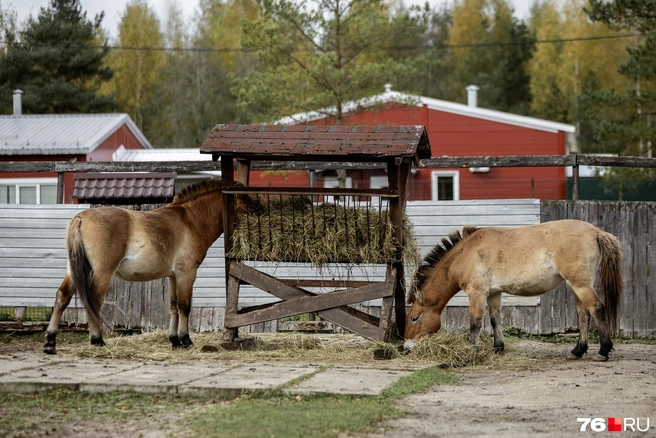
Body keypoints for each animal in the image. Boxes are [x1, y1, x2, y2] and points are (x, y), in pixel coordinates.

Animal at [44, 179, 254, 354]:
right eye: (244, 200)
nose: (257, 213)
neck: (189, 220)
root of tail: (81, 217)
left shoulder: (173, 276)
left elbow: (173, 306)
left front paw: (175, 341)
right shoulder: (186, 274)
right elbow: (185, 306)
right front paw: (185, 340)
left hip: (73, 270)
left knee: (62, 297)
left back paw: (50, 342)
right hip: (103, 273)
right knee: (93, 300)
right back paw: (97, 340)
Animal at [404, 219, 623, 361]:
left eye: (414, 317)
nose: (405, 347)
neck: (466, 252)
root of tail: (596, 232)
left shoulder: (477, 292)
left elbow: (475, 323)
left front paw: (473, 351)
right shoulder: (493, 293)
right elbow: (495, 320)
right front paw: (498, 348)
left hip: (580, 284)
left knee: (597, 308)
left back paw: (603, 351)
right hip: (577, 285)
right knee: (584, 314)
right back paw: (578, 351)